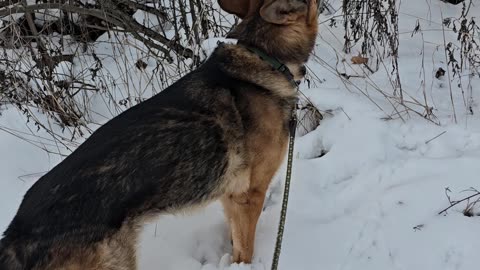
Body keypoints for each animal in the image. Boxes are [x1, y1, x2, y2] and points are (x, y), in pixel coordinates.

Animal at [0, 0, 318, 268]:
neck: (265, 56)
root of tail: (16, 235)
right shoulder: (249, 195)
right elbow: (245, 250)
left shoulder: (231, 197)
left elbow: (235, 239)